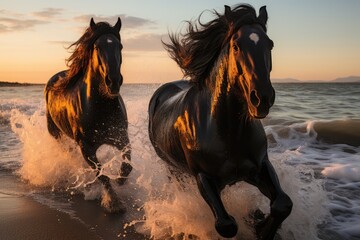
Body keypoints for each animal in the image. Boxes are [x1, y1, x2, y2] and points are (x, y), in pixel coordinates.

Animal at [44, 17, 132, 213]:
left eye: (120, 46)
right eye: (97, 47)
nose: (113, 81)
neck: (101, 107)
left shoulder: (121, 137)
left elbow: (127, 166)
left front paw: (120, 180)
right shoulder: (86, 147)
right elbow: (101, 174)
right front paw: (113, 203)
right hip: (56, 133)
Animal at [149, 4, 292, 240]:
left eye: (269, 44)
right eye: (235, 46)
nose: (261, 98)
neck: (226, 130)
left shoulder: (260, 166)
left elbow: (283, 204)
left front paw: (259, 223)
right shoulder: (203, 177)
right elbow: (226, 225)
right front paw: (254, 222)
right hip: (173, 169)